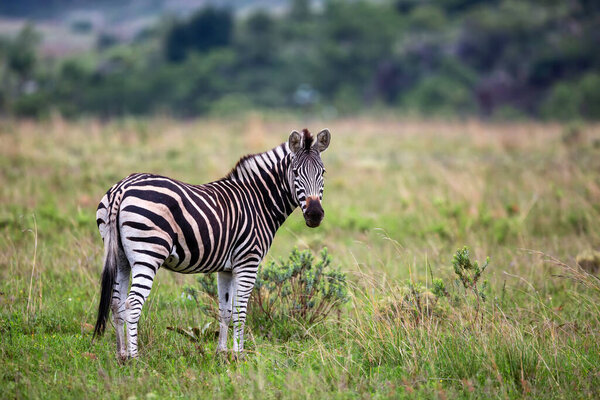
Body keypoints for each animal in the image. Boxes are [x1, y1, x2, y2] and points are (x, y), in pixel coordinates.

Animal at [92, 128, 332, 360]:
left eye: (322, 173)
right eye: (295, 173)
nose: (315, 215)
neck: (258, 201)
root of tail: (122, 187)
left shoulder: (226, 268)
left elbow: (225, 311)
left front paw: (222, 354)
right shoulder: (248, 262)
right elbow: (240, 312)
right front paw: (240, 355)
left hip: (120, 257)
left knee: (116, 304)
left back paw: (121, 356)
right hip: (148, 253)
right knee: (132, 305)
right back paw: (135, 360)